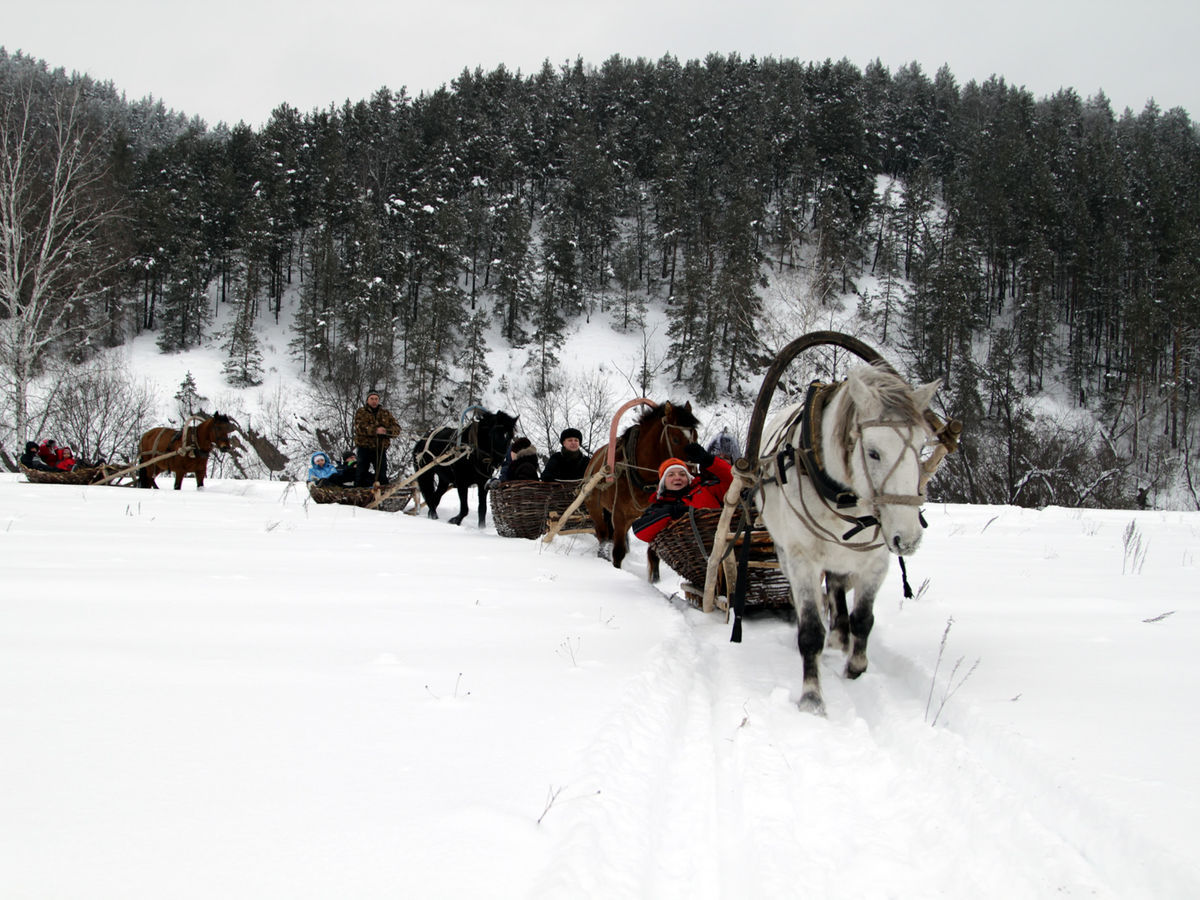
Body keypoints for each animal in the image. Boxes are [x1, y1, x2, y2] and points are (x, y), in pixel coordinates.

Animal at [583, 400, 700, 580]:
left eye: (696, 437)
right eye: (675, 439)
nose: (690, 475)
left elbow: (654, 553)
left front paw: (654, 580)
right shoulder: (619, 516)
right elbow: (619, 552)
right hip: (595, 507)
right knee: (602, 534)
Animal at [753, 362, 940, 715]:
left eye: (922, 446)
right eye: (873, 452)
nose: (908, 538)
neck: (844, 497)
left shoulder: (876, 561)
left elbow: (863, 619)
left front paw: (856, 666)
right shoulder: (802, 560)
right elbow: (811, 631)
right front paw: (812, 697)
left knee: (838, 586)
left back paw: (840, 634)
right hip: (785, 553)